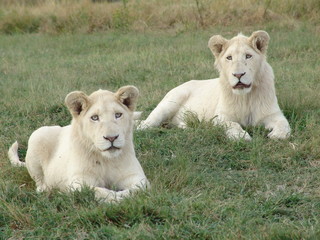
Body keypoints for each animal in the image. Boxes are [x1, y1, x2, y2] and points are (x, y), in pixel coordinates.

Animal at [8, 85, 149, 202]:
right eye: (95, 118)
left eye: (118, 115)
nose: (111, 138)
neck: (106, 160)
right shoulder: (78, 182)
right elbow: (98, 191)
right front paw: (114, 198)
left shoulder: (136, 177)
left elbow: (137, 190)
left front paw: (122, 196)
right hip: (38, 135)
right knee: (39, 182)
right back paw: (48, 190)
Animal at [138, 30, 290, 140]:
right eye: (229, 57)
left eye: (248, 56)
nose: (238, 75)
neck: (245, 97)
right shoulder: (220, 118)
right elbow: (233, 124)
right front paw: (241, 136)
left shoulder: (274, 114)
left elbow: (284, 125)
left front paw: (277, 135)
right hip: (169, 102)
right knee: (144, 123)